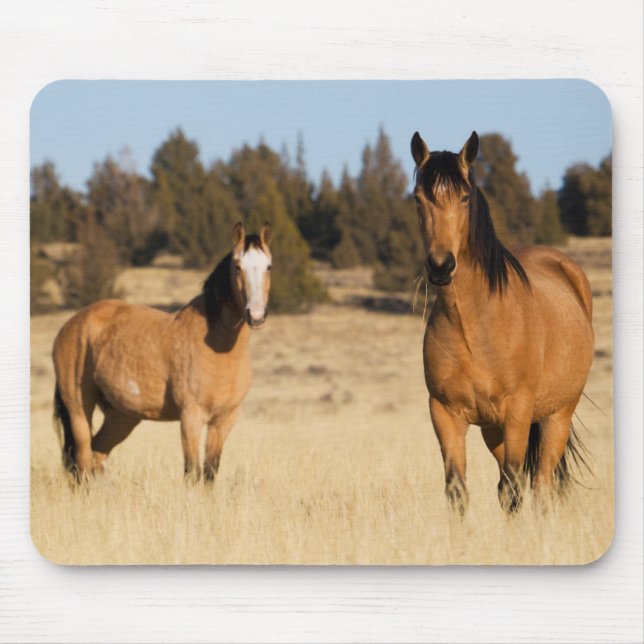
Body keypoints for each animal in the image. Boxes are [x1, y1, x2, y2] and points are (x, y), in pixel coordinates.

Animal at [52, 222, 273, 483]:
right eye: (238, 267)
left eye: (269, 266)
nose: (256, 315)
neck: (219, 347)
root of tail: (71, 324)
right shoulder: (191, 417)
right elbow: (192, 472)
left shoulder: (224, 420)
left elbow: (210, 472)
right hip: (79, 408)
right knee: (83, 461)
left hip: (122, 416)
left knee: (98, 454)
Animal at [410, 131, 594, 514]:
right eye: (418, 199)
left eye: (465, 197)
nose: (440, 266)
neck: (475, 327)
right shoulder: (445, 414)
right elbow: (458, 490)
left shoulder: (518, 412)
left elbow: (513, 489)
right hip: (492, 430)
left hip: (557, 416)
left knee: (540, 484)